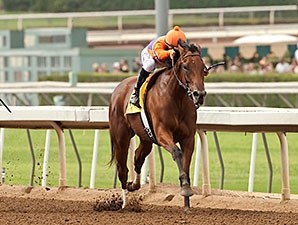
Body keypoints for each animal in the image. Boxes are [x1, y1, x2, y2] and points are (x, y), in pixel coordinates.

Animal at [110, 39, 212, 210]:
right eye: (186, 67)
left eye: (203, 68)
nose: (199, 95)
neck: (176, 98)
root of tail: (119, 87)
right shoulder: (162, 132)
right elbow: (177, 153)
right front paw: (185, 188)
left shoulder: (188, 137)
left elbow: (185, 161)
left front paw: (187, 202)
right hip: (120, 137)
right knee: (122, 169)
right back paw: (124, 203)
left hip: (146, 138)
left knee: (137, 157)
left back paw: (134, 185)